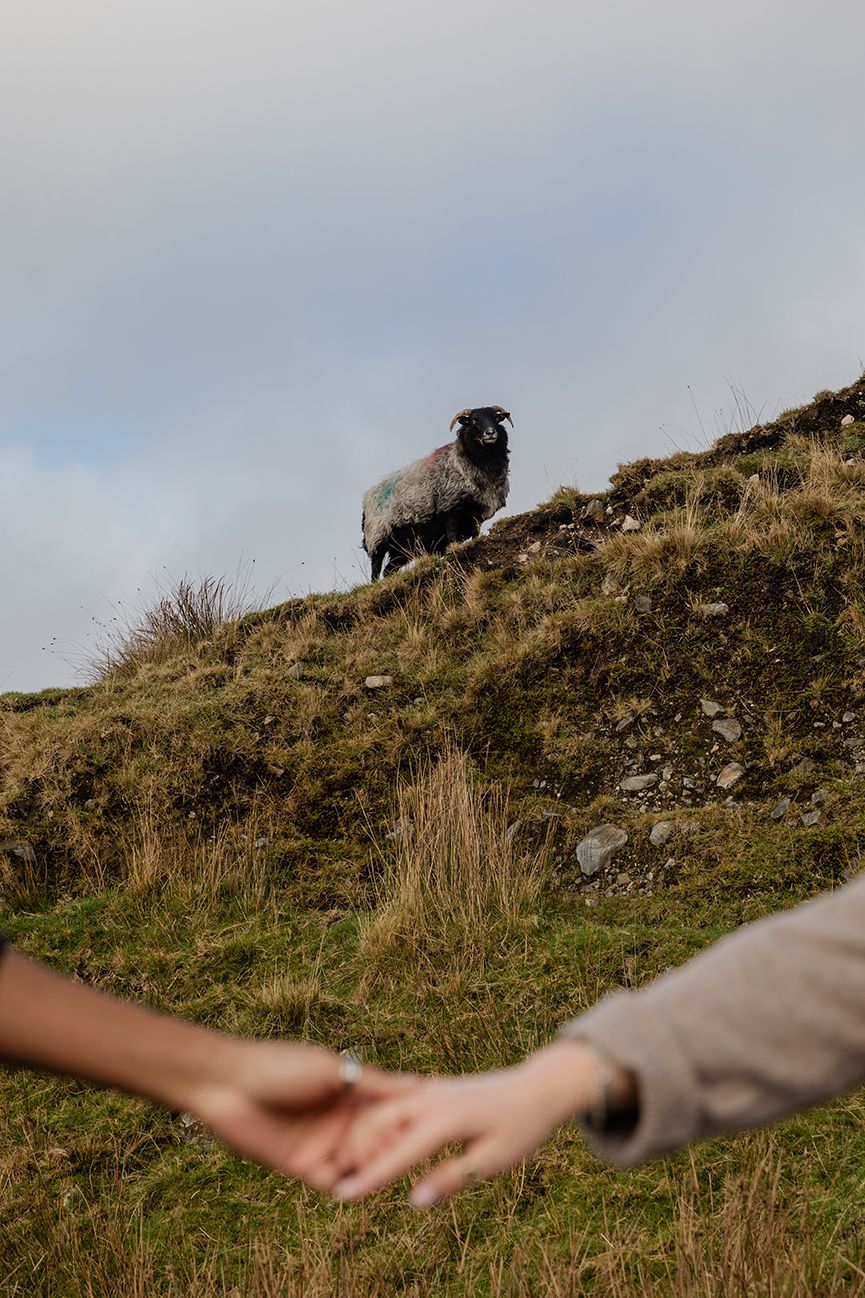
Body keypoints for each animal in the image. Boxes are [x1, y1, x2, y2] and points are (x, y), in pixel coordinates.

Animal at [362, 406, 512, 580]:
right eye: (474, 420)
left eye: (496, 418)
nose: (490, 433)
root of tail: (366, 499)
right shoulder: (449, 508)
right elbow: (452, 536)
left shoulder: (476, 514)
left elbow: (475, 533)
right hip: (378, 537)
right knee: (376, 569)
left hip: (400, 549)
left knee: (388, 570)